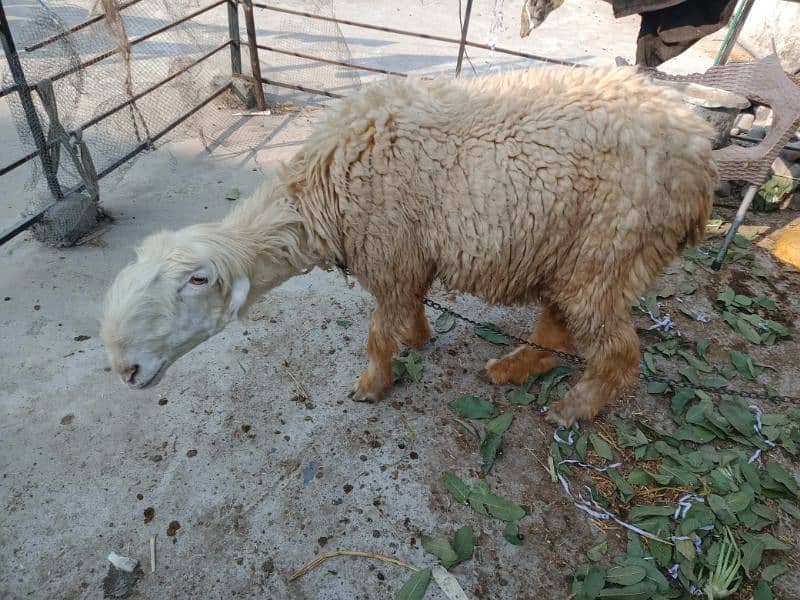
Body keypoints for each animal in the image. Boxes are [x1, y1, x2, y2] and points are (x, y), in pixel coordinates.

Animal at [100, 65, 720, 424]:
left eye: (194, 282)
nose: (125, 372)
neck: (322, 187)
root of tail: (702, 157)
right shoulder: (410, 256)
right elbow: (411, 309)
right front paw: (420, 339)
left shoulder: (390, 251)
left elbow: (378, 333)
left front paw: (372, 385)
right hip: (571, 251)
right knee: (557, 327)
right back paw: (511, 370)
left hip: (611, 249)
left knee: (617, 352)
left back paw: (572, 409)